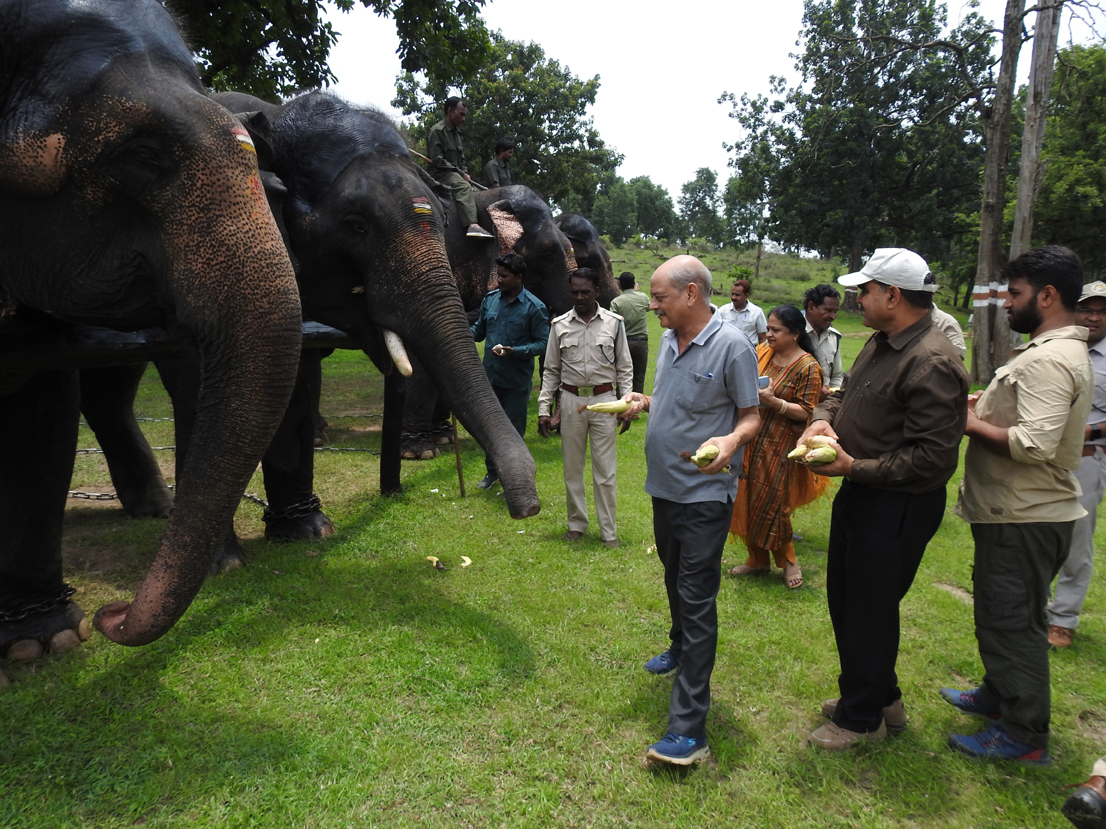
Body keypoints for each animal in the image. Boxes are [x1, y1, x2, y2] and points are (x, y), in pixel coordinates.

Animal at [0, 0, 303, 667]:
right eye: (142, 155)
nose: (110, 616)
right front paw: (47, 642)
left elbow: (40, 402)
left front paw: (45, 642)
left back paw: (154, 506)